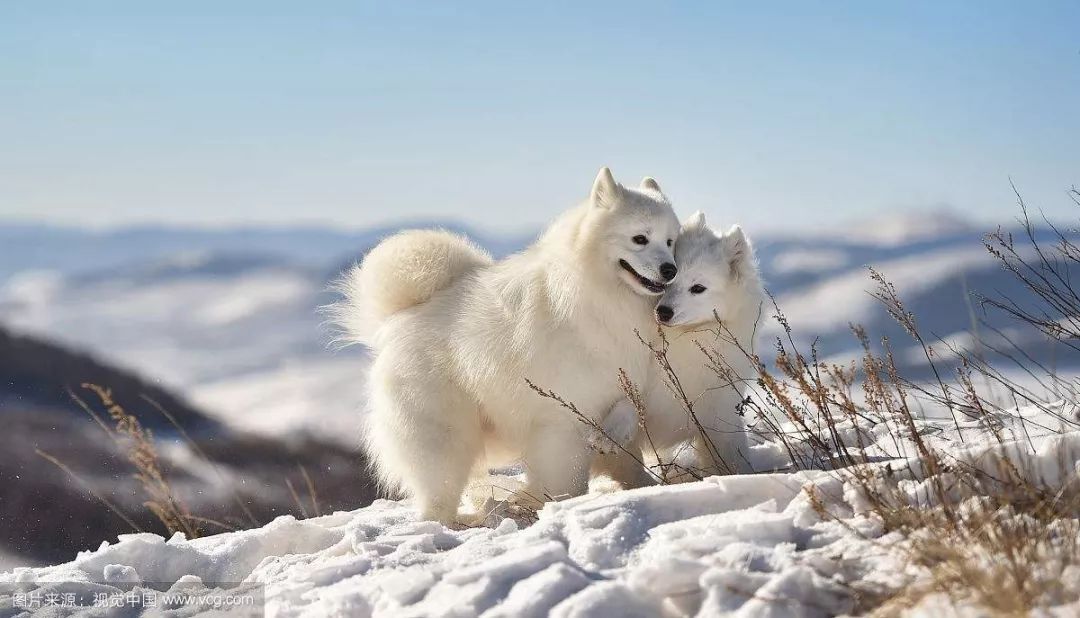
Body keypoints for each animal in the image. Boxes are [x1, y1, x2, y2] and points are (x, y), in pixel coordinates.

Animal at [332, 167, 678, 520]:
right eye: (640, 238)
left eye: (670, 241)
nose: (670, 269)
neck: (599, 293)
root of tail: (401, 315)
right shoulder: (563, 416)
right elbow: (566, 475)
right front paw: (559, 503)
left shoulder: (622, 379)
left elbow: (624, 425)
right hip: (443, 433)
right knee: (438, 488)